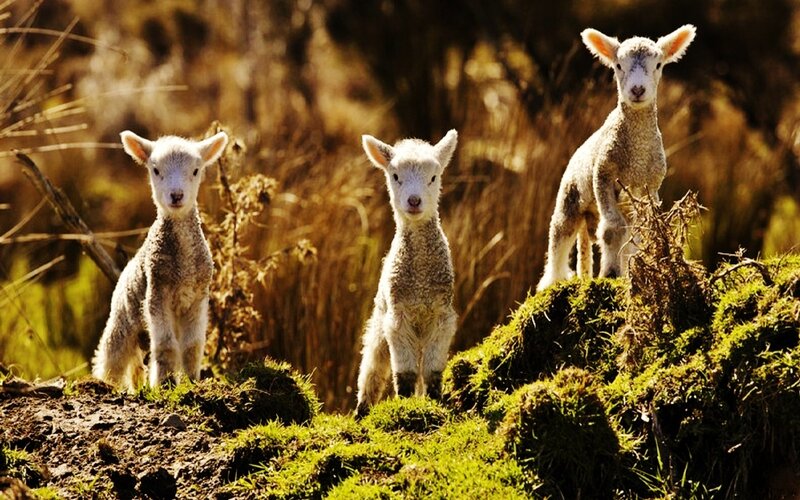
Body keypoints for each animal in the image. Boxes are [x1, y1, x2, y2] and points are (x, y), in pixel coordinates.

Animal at [92, 130, 228, 390]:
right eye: (155, 170)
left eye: (195, 170)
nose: (176, 195)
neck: (184, 263)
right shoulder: (157, 294)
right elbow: (165, 346)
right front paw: (164, 384)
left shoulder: (198, 298)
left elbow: (192, 346)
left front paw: (191, 382)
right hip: (122, 319)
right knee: (112, 357)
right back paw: (107, 385)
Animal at [355, 129, 459, 418]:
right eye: (395, 176)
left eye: (433, 177)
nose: (414, 201)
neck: (421, 278)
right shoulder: (398, 318)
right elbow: (405, 372)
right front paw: (405, 402)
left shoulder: (442, 317)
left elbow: (432, 370)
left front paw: (434, 400)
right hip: (380, 320)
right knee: (372, 367)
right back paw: (361, 409)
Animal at [537, 25, 696, 292]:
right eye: (619, 66)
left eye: (658, 65)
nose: (638, 90)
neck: (636, 152)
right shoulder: (603, 176)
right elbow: (613, 230)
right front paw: (610, 273)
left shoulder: (649, 187)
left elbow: (638, 234)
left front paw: (630, 274)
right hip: (570, 198)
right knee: (559, 235)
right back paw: (554, 281)